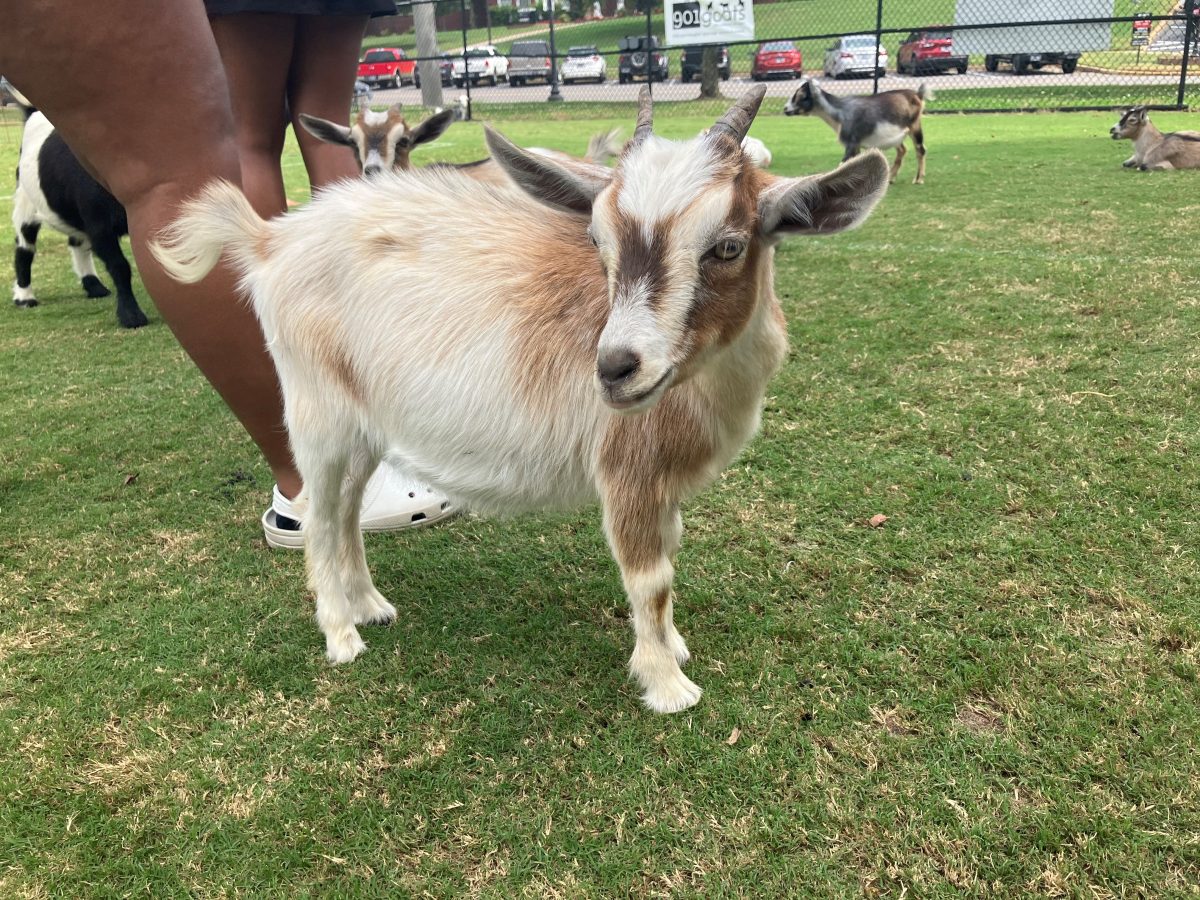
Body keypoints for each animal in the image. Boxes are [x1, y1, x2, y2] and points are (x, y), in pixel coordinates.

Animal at [13, 107, 148, 328]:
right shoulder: (99, 225)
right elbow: (119, 266)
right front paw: (131, 315)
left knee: (77, 243)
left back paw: (94, 286)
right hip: (26, 201)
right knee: (24, 249)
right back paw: (25, 298)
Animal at [152, 88, 892, 715]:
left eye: (729, 245)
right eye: (595, 240)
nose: (614, 369)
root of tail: (269, 240)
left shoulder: (665, 483)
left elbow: (670, 559)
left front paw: (675, 649)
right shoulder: (628, 472)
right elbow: (650, 578)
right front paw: (667, 686)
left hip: (364, 424)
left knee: (346, 513)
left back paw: (371, 607)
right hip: (317, 414)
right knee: (318, 517)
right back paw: (340, 635)